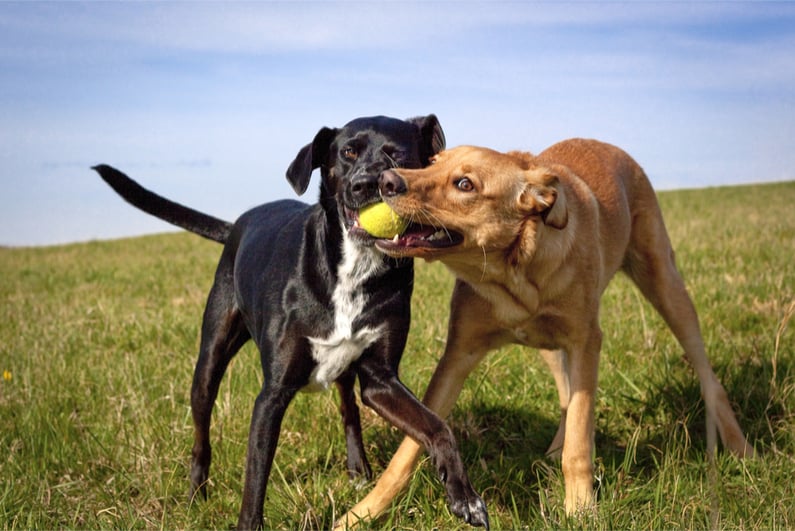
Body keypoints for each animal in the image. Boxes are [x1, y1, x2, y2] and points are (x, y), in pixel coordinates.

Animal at [94, 117, 492, 531]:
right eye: (347, 152)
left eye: (396, 153)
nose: (365, 185)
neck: (354, 267)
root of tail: (236, 225)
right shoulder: (272, 395)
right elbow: (255, 483)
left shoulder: (381, 380)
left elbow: (437, 426)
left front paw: (464, 496)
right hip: (209, 359)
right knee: (201, 431)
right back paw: (195, 495)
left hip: (343, 372)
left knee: (349, 410)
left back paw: (358, 469)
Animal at [336, 139, 752, 524]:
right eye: (433, 162)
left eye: (465, 184)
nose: (386, 181)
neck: (515, 276)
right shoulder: (458, 355)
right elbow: (408, 449)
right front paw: (361, 513)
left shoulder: (586, 342)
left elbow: (580, 443)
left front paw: (580, 509)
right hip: (551, 347)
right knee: (567, 393)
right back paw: (552, 451)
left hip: (665, 284)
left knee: (707, 376)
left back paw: (740, 448)